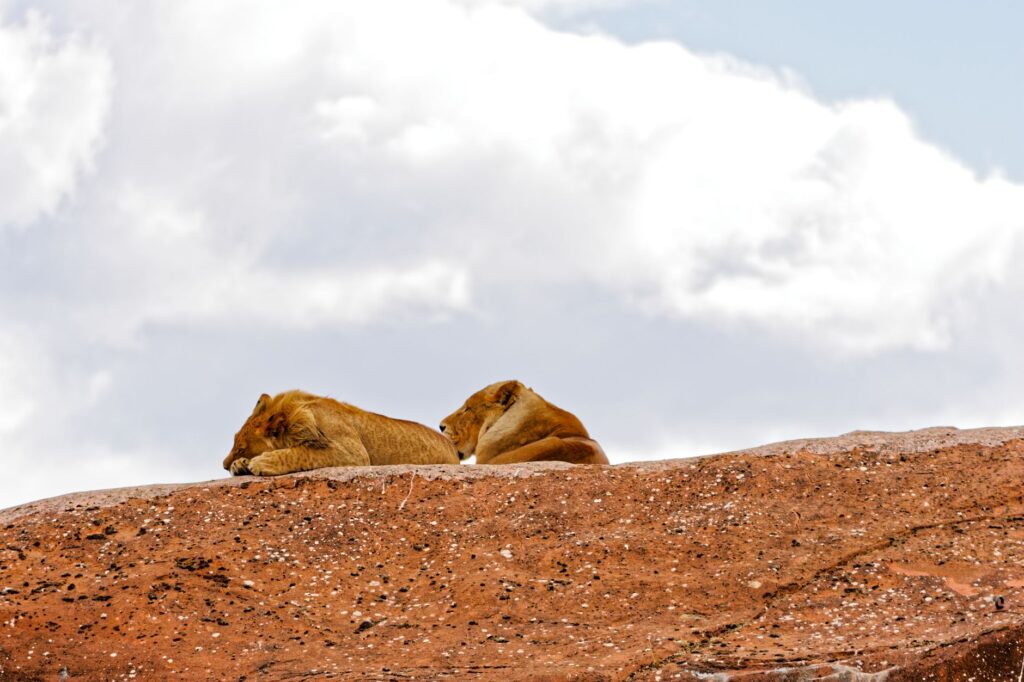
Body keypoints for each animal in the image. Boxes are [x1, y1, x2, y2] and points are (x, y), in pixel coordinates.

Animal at [224, 390, 459, 476]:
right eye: (234, 442)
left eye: (241, 447)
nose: (224, 466)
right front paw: (239, 465)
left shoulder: (354, 455)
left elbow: (303, 452)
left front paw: (262, 462)